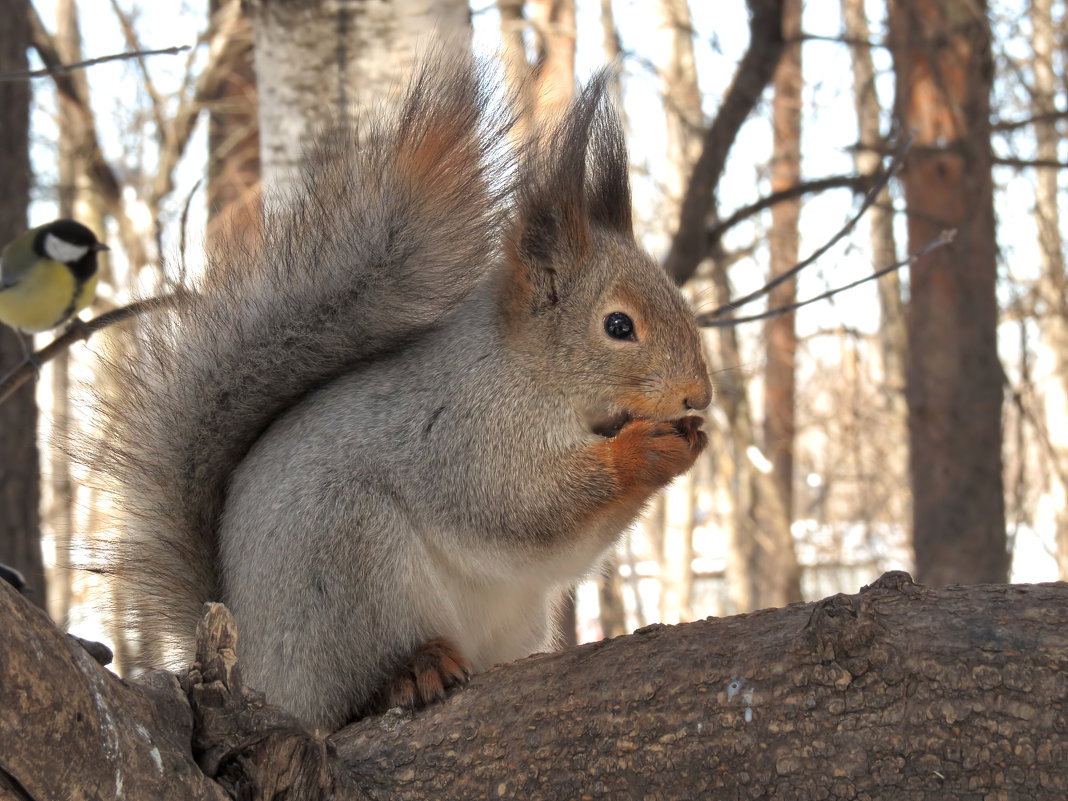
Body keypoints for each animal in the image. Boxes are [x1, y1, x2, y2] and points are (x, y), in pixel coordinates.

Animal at [91, 55, 709, 734]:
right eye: (618, 326)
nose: (698, 396)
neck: (533, 377)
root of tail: (256, 671)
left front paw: (689, 443)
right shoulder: (462, 433)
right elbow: (523, 506)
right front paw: (644, 452)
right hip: (350, 562)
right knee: (352, 692)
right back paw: (412, 671)